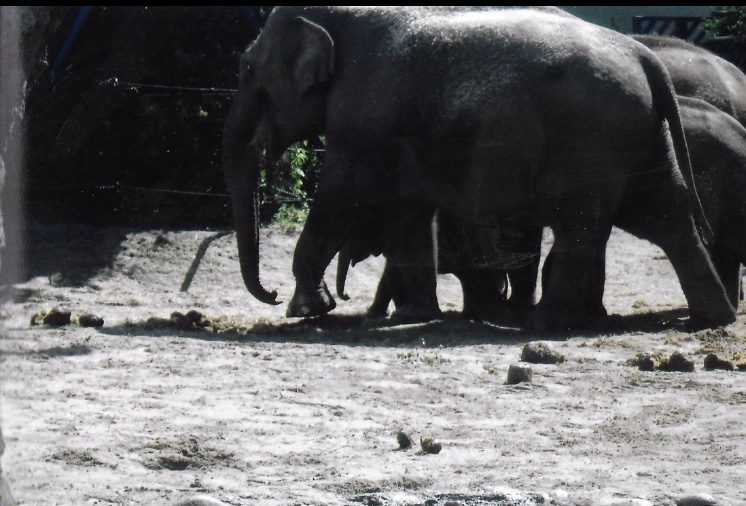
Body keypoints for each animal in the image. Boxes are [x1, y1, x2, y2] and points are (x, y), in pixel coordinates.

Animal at [222, 6, 736, 331]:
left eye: (246, 70)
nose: (268, 293)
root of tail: (645, 58)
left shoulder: (364, 114)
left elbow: (341, 194)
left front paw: (304, 311)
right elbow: (407, 209)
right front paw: (413, 315)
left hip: (593, 139)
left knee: (583, 226)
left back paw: (542, 325)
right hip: (643, 137)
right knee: (667, 218)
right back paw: (712, 320)